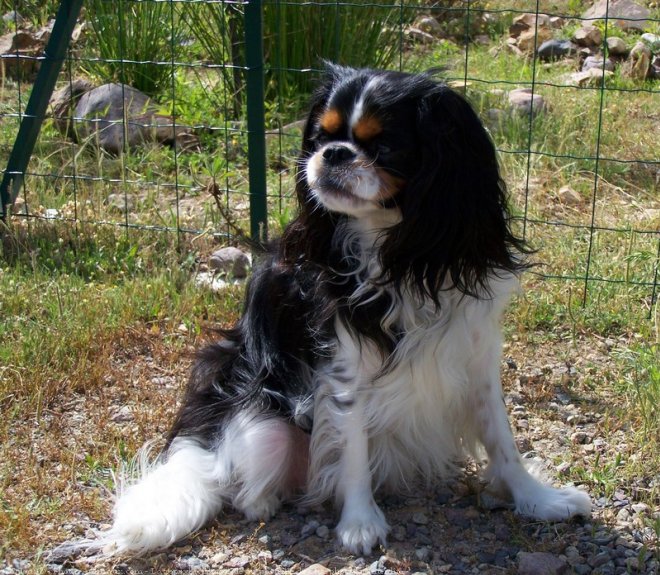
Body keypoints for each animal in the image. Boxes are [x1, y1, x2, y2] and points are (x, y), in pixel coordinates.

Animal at [76, 64, 588, 560]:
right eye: (321, 137)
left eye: (383, 146)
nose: (334, 154)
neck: (401, 250)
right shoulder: (346, 366)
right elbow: (353, 449)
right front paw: (359, 523)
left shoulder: (477, 352)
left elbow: (502, 439)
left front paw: (537, 499)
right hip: (263, 424)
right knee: (240, 486)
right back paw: (265, 500)